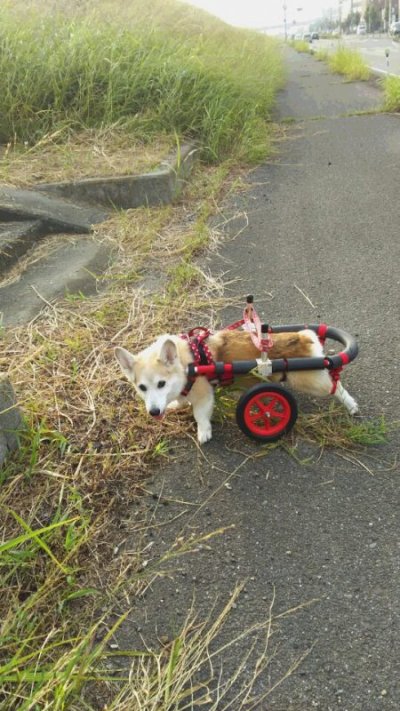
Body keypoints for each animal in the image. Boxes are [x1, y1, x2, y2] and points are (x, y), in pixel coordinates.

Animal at [113, 330, 360, 444]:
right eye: (142, 388)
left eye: (161, 383)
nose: (154, 412)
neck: (187, 363)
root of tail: (302, 336)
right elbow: (181, 400)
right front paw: (174, 405)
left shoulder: (203, 394)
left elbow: (200, 415)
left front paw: (203, 432)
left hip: (309, 381)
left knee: (335, 385)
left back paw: (351, 405)